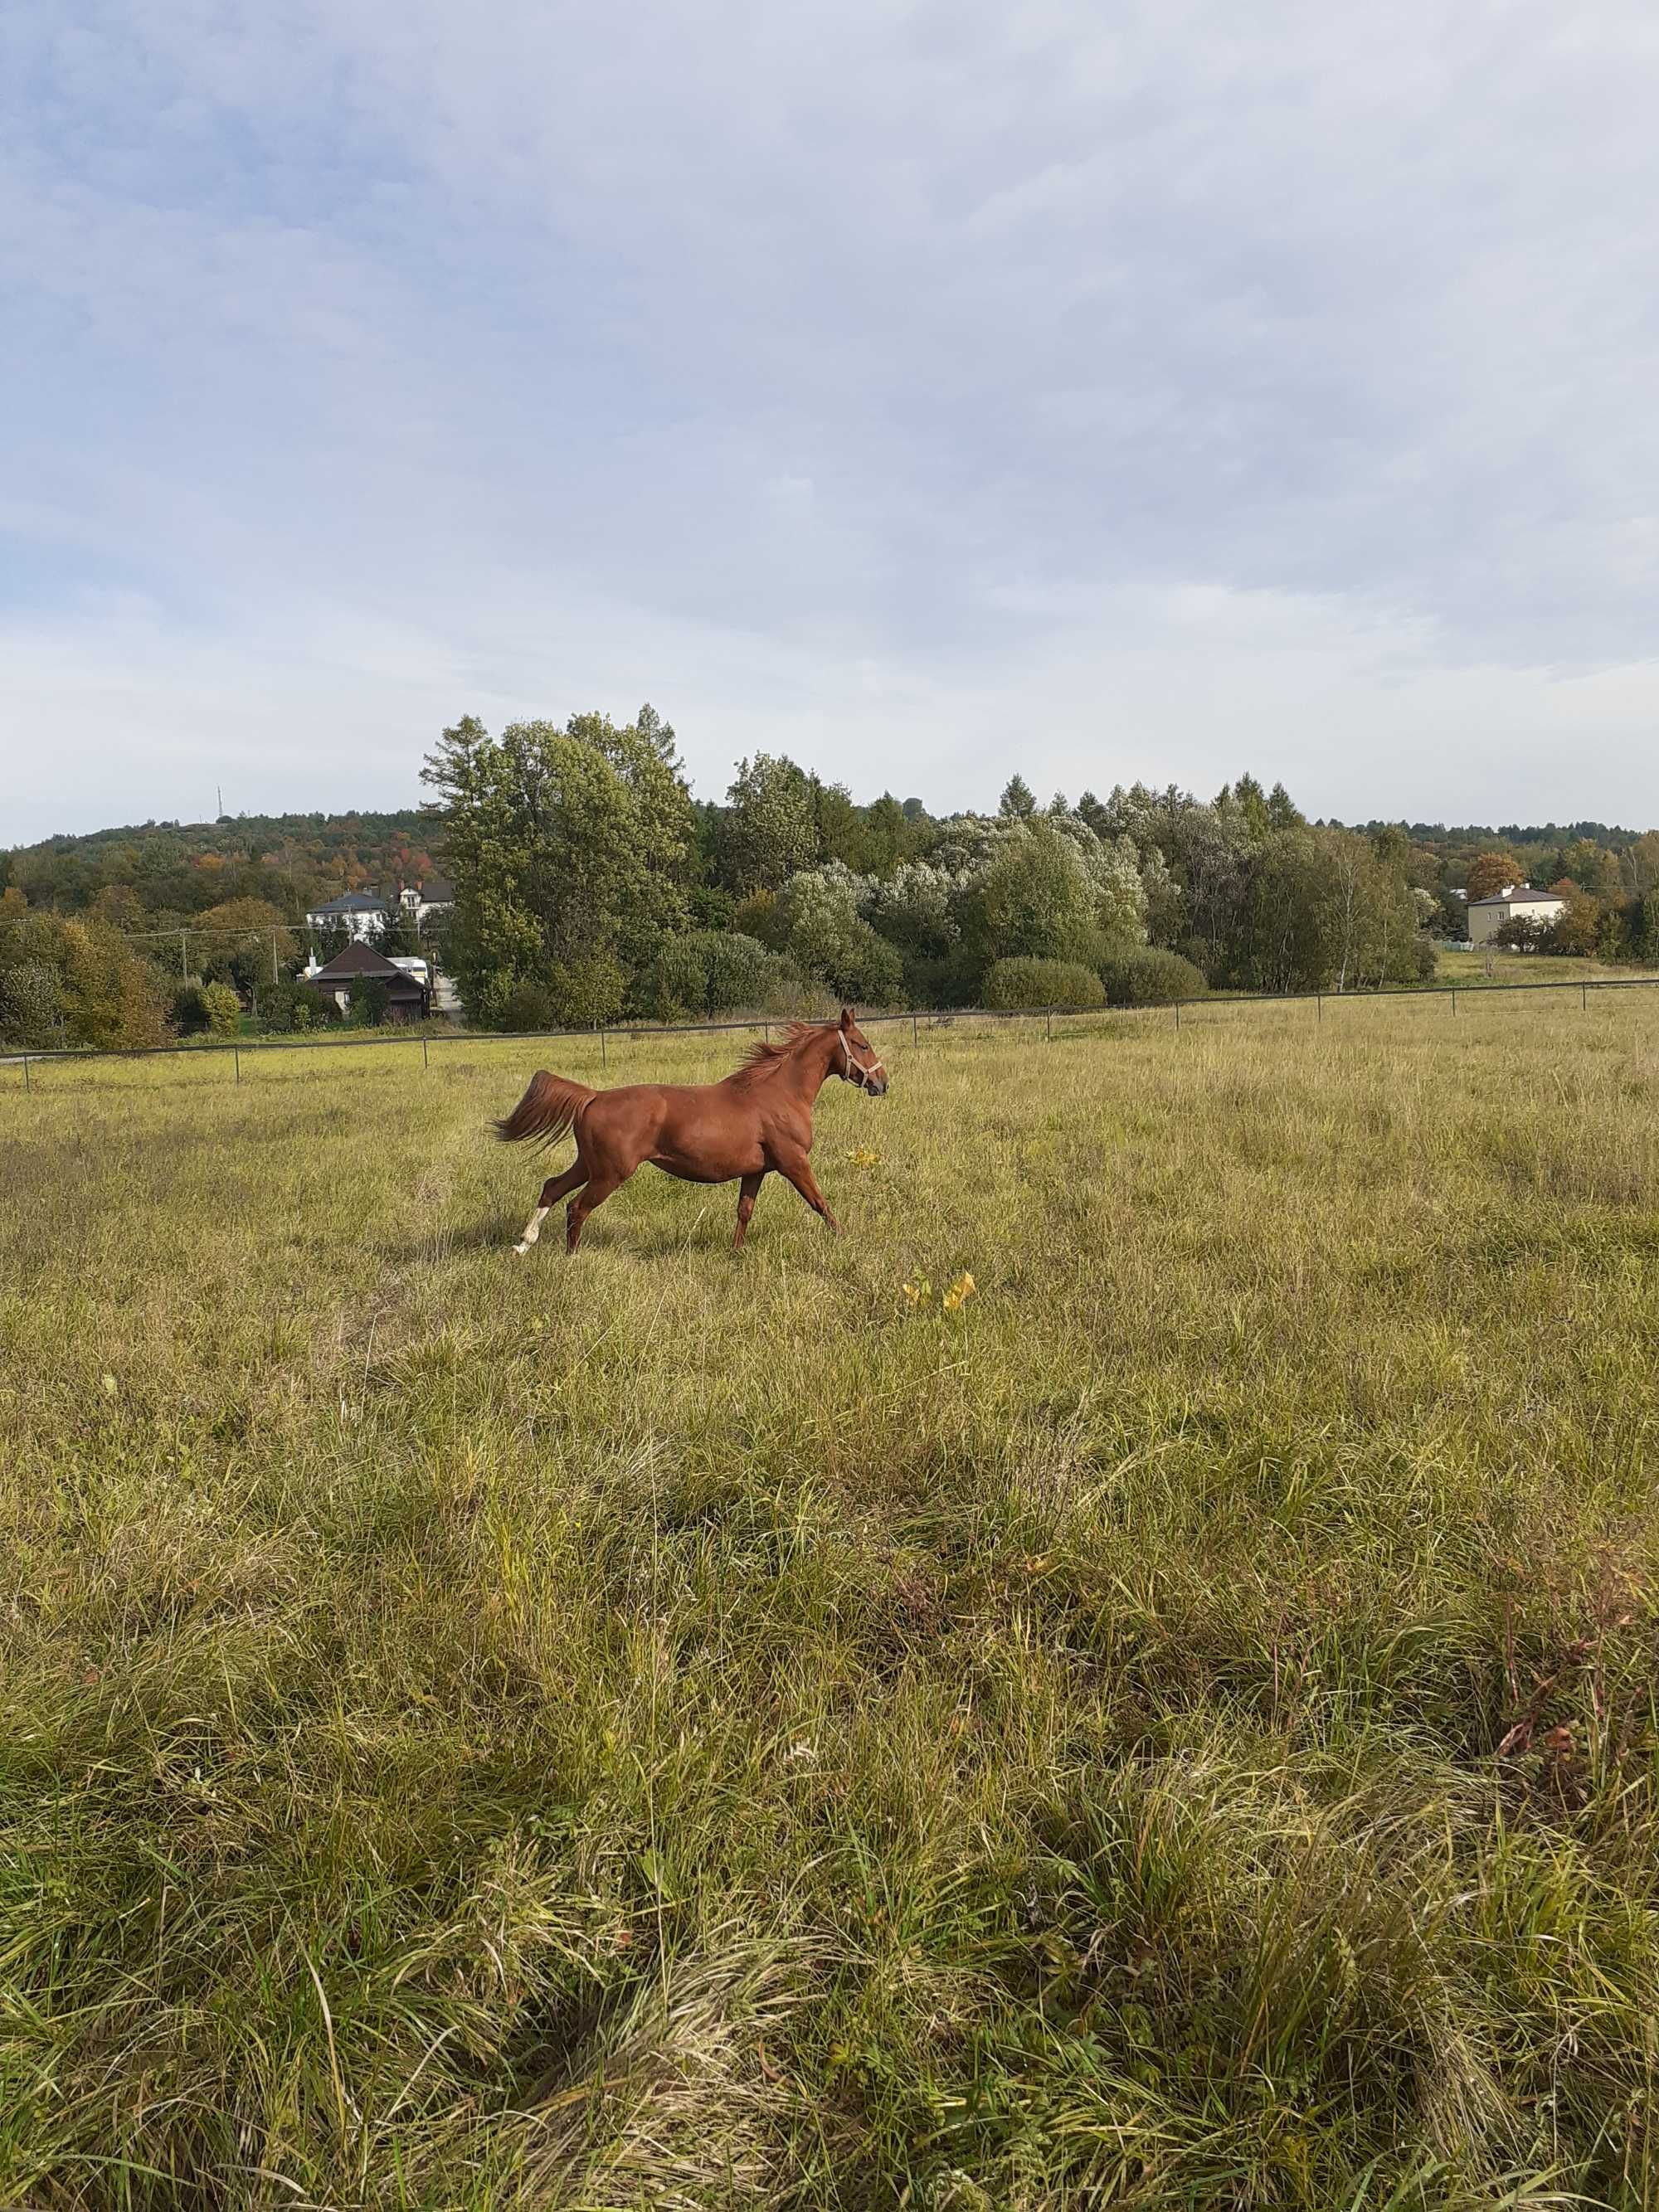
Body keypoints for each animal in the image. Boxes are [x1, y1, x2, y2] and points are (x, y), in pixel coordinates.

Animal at [499, 1004, 889, 1247]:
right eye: (862, 1045)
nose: (882, 1083)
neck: (781, 1093)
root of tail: (594, 1097)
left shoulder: (756, 1170)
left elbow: (744, 1212)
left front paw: (736, 1253)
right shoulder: (794, 1162)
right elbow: (820, 1203)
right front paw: (845, 1240)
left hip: (588, 1165)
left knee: (552, 1187)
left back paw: (524, 1244)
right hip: (609, 1174)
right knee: (576, 1208)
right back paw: (570, 1257)